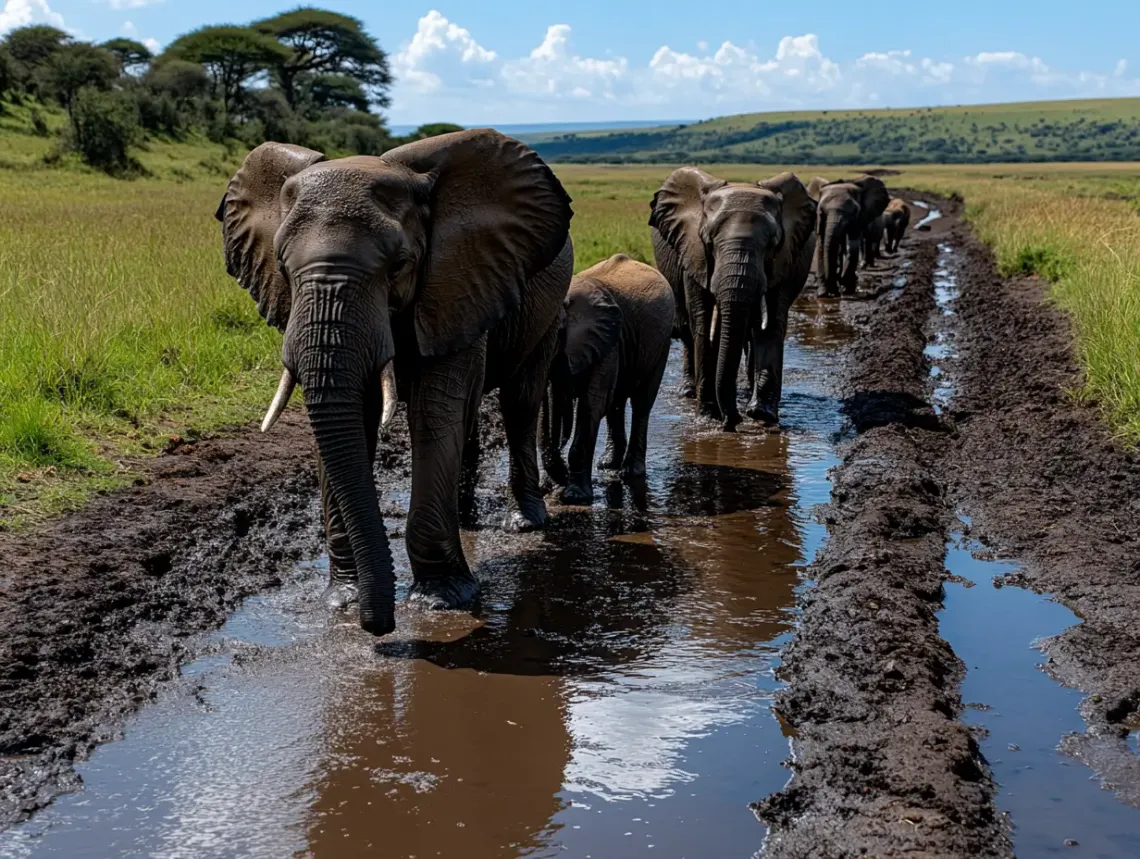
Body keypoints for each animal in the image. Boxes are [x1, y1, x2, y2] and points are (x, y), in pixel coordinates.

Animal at [214, 128, 574, 637]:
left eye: (400, 265)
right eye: (282, 268)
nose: (378, 627)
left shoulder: (457, 279)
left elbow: (434, 413)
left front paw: (443, 599)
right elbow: (352, 421)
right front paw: (342, 600)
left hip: (544, 305)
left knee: (519, 402)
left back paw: (523, 523)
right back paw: (468, 521)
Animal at [538, 250, 670, 501]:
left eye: (557, 334)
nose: (560, 478)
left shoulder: (608, 344)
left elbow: (591, 406)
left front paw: (575, 496)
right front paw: (550, 487)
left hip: (660, 345)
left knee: (641, 402)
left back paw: (630, 472)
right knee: (615, 404)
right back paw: (608, 465)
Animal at [652, 168, 820, 428]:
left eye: (772, 244)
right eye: (709, 241)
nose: (732, 421)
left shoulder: (786, 259)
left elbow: (771, 324)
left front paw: (762, 415)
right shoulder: (694, 253)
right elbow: (702, 322)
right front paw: (708, 416)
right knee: (688, 329)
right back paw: (689, 392)